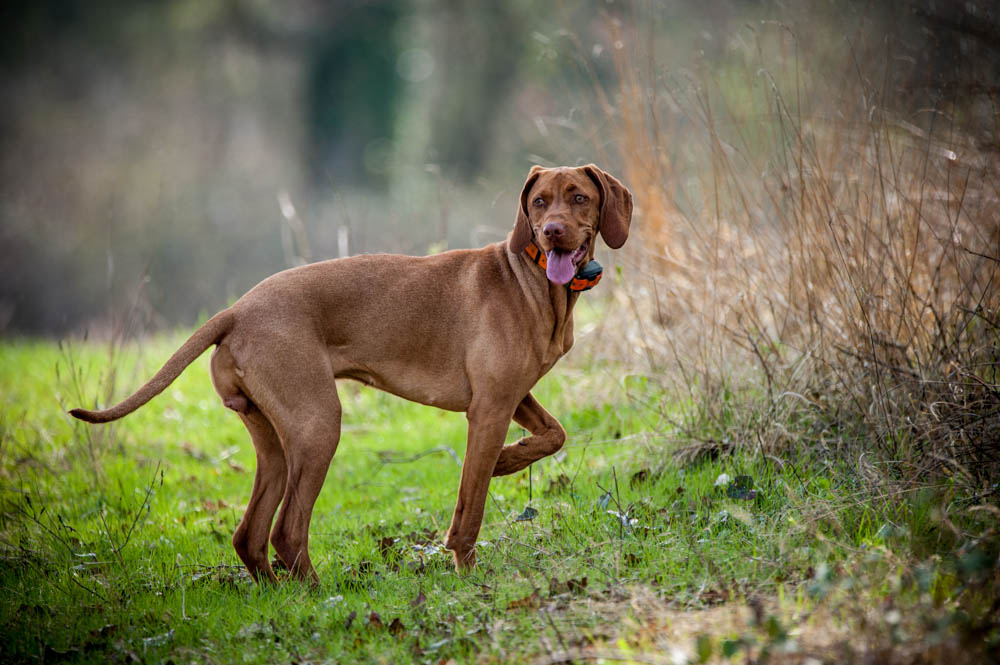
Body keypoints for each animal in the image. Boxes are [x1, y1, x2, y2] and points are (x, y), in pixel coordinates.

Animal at [70, 165, 632, 580]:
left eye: (578, 197)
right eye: (539, 202)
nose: (553, 231)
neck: (530, 281)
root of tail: (235, 310)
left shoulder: (513, 396)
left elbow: (554, 435)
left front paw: (507, 461)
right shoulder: (489, 408)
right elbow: (470, 508)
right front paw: (469, 569)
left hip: (275, 442)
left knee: (249, 536)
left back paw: (280, 595)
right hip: (319, 424)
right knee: (287, 532)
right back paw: (318, 596)